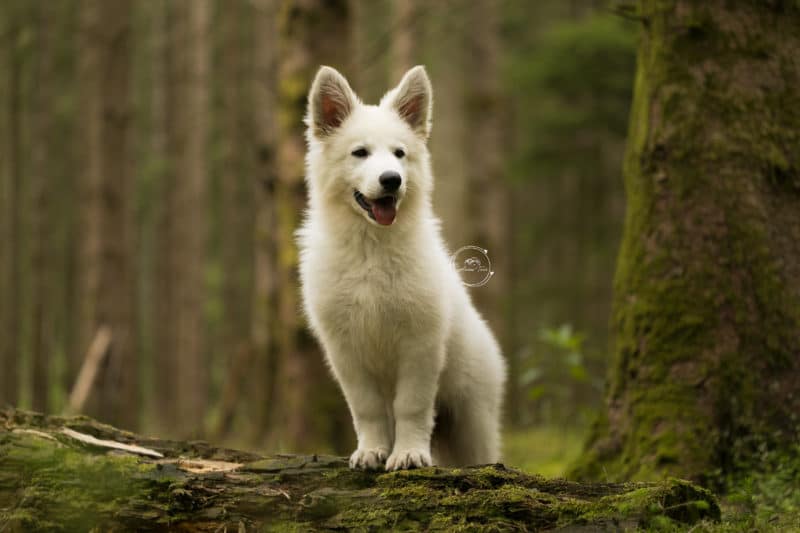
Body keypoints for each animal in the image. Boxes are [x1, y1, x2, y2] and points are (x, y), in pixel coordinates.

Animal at [296, 66, 504, 470]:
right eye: (360, 153)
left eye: (399, 154)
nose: (392, 179)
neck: (371, 248)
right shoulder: (346, 351)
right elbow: (367, 409)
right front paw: (372, 451)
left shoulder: (420, 345)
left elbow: (412, 406)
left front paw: (408, 454)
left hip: (471, 417)